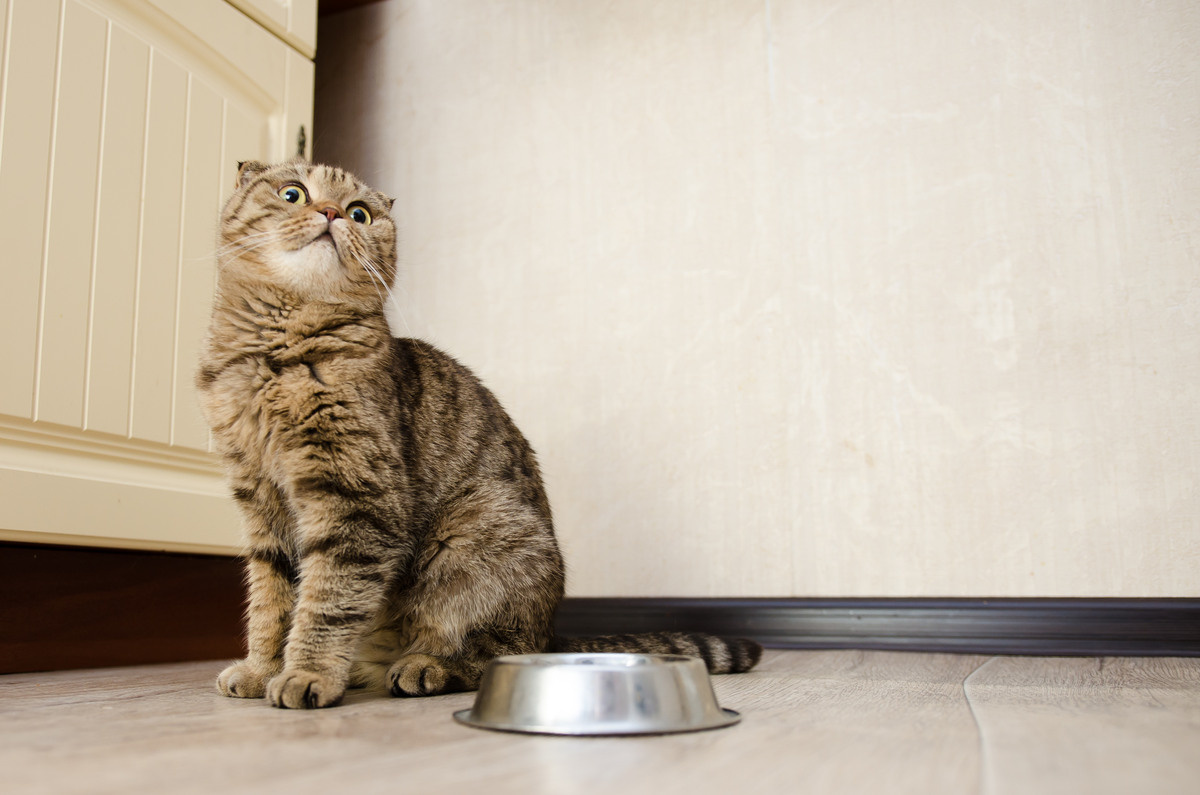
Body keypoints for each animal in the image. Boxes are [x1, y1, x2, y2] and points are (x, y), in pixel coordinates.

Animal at [195, 160, 758, 710]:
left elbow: (326, 601)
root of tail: (550, 632)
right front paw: (262, 668)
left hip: (473, 539)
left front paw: (306, 674)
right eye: (293, 193)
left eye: (359, 213)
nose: (332, 212)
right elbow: (272, 604)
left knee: (491, 652)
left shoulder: (357, 503)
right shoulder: (263, 506)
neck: (273, 360)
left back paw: (425, 666)